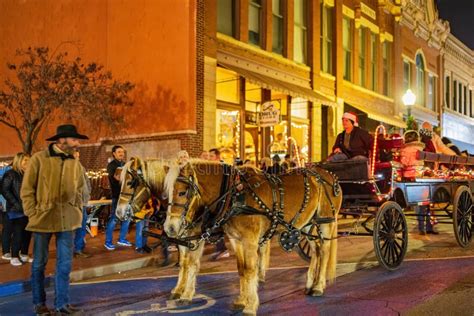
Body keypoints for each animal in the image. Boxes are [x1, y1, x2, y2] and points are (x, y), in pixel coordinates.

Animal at [163, 162, 340, 314]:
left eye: (182, 192)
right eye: (167, 194)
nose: (170, 228)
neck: (234, 196)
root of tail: (326, 174)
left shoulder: (250, 240)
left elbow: (250, 269)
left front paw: (251, 305)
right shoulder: (236, 240)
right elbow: (241, 269)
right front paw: (242, 300)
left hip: (325, 222)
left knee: (324, 252)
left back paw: (318, 286)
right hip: (308, 225)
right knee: (316, 251)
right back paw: (310, 284)